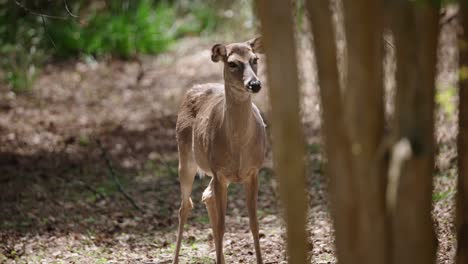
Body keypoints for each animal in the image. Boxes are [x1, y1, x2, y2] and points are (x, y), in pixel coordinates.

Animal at [172, 37, 266, 264]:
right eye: (232, 63)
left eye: (255, 59)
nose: (254, 84)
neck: (239, 145)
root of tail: (193, 88)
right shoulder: (220, 172)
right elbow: (223, 227)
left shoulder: (253, 171)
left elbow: (254, 225)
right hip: (186, 157)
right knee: (184, 206)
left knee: (206, 196)